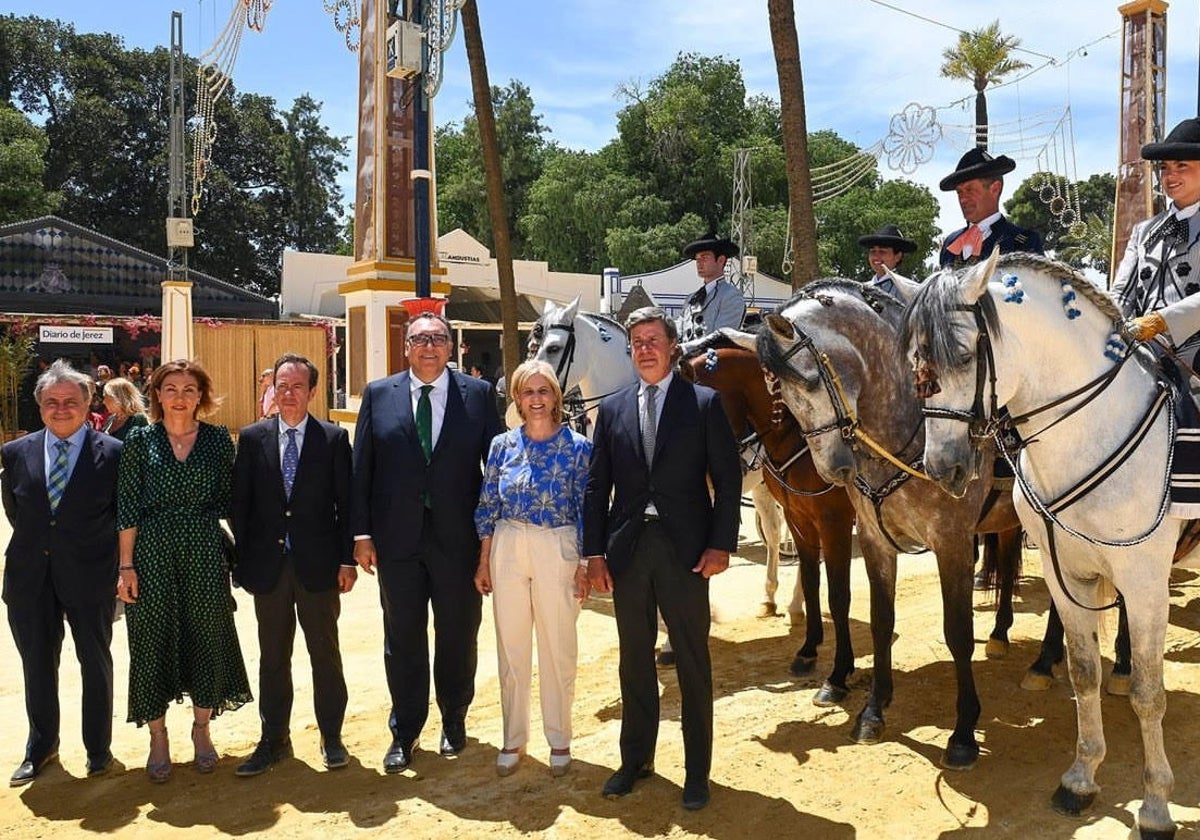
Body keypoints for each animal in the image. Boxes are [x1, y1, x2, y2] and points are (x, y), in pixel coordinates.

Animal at [532, 298, 796, 619]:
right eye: (535, 344)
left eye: (554, 348)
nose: (538, 383)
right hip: (761, 481)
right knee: (774, 529)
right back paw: (769, 598)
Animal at [902, 249, 1190, 840]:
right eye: (914, 361)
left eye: (963, 355)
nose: (943, 469)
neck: (1092, 434)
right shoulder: (1067, 576)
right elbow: (1083, 672)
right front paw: (1080, 779)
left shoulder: (1146, 583)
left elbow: (1149, 694)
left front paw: (1155, 807)